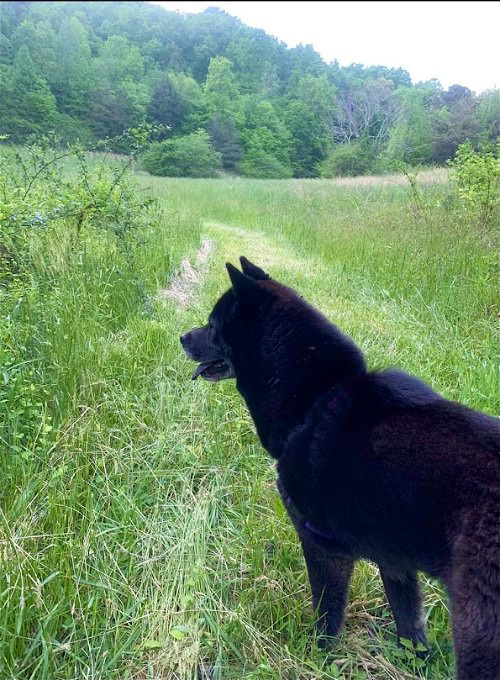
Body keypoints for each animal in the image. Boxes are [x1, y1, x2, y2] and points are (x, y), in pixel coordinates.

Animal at [181, 256, 500, 680]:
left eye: (213, 326)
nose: (182, 337)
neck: (314, 398)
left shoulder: (322, 547)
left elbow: (326, 618)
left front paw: (316, 661)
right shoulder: (395, 562)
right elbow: (409, 626)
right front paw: (414, 663)